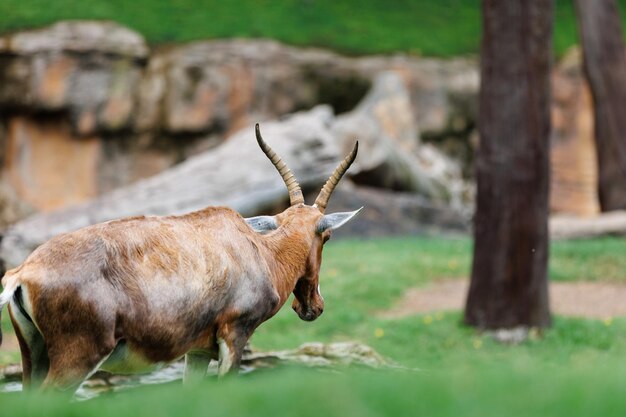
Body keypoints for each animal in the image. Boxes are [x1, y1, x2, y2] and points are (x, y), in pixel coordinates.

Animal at [0, 125, 358, 392]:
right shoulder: (235, 335)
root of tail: (23, 273)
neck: (255, 249)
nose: (312, 307)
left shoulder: (197, 351)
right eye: (327, 235)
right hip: (77, 359)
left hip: (35, 357)